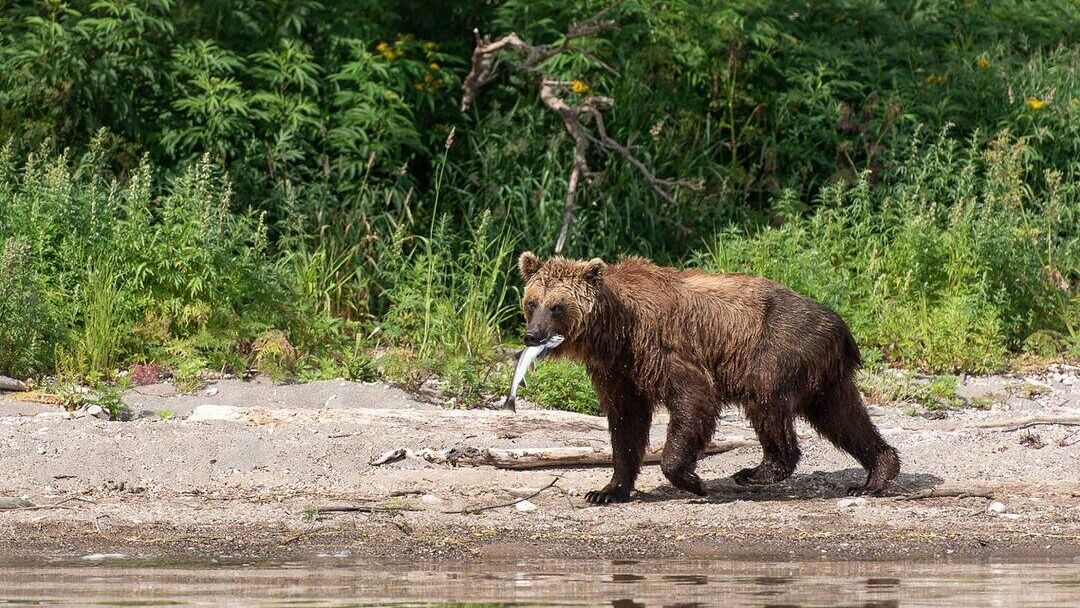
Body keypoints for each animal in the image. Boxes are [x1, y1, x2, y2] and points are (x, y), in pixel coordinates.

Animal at [518, 252, 898, 505]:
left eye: (557, 306)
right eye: (532, 302)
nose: (532, 335)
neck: (614, 331)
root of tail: (840, 326)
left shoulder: (662, 348)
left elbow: (694, 397)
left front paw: (693, 480)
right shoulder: (619, 371)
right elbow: (626, 423)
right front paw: (606, 490)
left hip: (776, 349)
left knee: (767, 402)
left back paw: (755, 471)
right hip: (824, 376)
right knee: (843, 417)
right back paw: (876, 474)